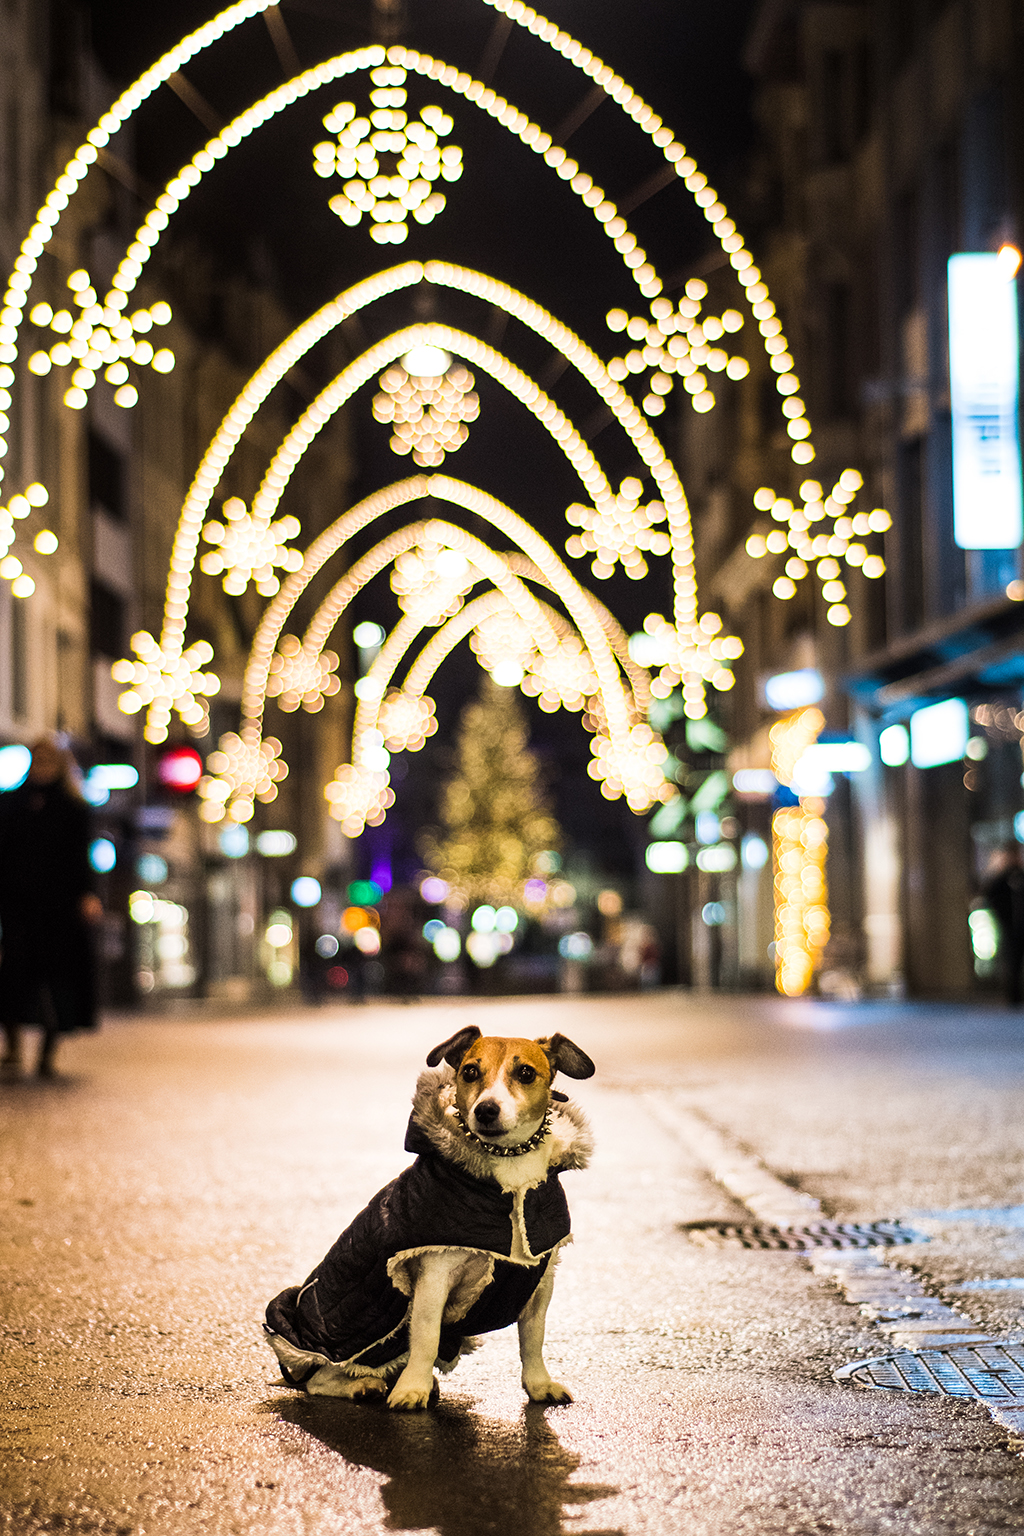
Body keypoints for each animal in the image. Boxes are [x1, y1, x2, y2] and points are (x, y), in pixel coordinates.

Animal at [267, 1026, 592, 1406]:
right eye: (470, 1072)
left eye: (525, 1073)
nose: (486, 1110)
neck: (508, 1173)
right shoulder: (433, 1276)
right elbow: (425, 1337)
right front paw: (413, 1389)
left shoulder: (540, 1281)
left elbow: (533, 1338)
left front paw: (539, 1384)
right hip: (362, 1330)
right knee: (319, 1378)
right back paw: (361, 1385)